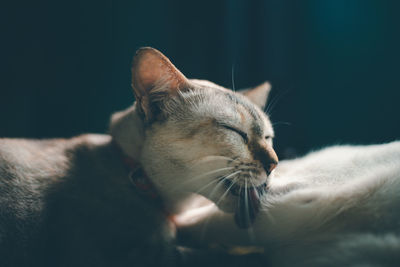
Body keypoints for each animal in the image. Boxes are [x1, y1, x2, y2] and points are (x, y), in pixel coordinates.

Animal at [0, 47, 278, 266]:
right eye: (234, 131)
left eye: (267, 137)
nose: (274, 164)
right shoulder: (137, 257)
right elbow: (215, 255)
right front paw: (252, 253)